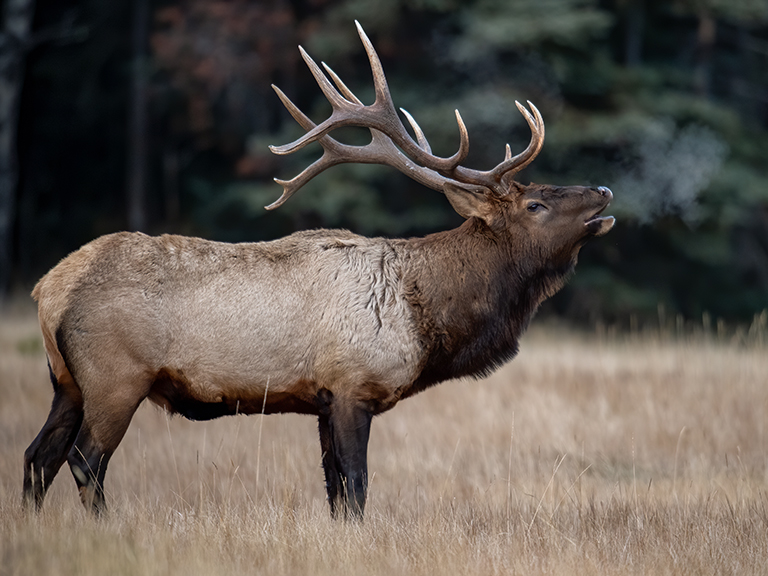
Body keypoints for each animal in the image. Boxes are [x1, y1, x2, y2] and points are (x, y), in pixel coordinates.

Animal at [21, 22, 616, 520]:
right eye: (536, 203)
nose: (605, 191)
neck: (426, 315)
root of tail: (48, 288)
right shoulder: (353, 385)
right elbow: (355, 485)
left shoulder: (322, 401)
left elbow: (334, 490)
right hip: (116, 377)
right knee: (85, 461)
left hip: (66, 383)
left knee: (36, 456)